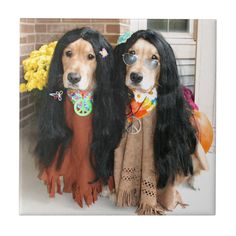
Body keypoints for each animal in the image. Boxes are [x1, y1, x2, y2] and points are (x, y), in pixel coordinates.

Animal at [113, 29, 213, 214]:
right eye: (131, 54)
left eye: (155, 59)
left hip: (195, 149)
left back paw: (194, 182)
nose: (135, 76)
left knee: (196, 169)